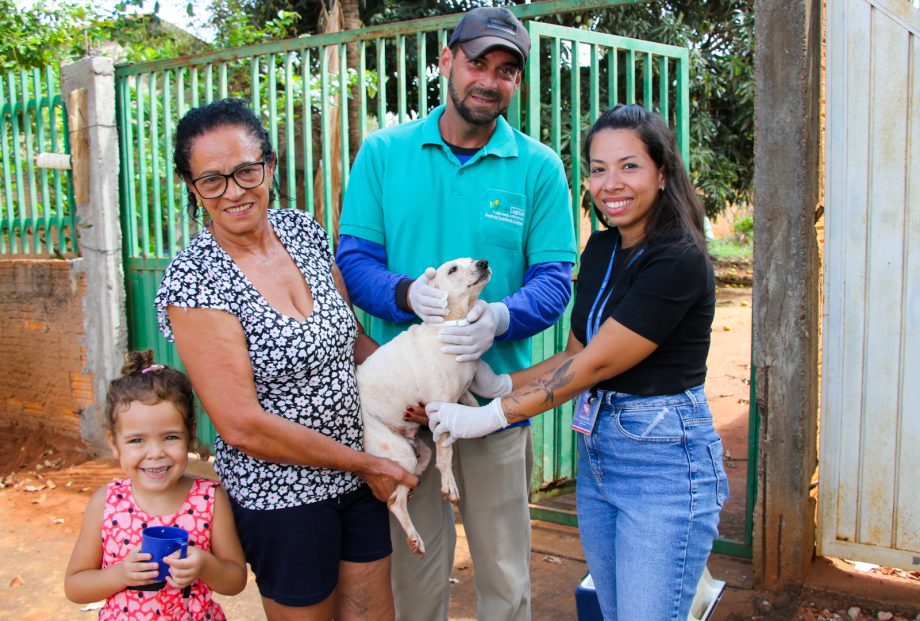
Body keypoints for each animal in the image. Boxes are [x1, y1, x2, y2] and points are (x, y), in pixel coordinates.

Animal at [358, 254, 492, 556]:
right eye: (453, 269)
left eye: (471, 259)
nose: (483, 262)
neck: (448, 325)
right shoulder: (440, 407)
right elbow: (447, 454)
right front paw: (449, 486)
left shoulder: (459, 396)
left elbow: (470, 402)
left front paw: (478, 418)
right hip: (399, 453)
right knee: (394, 501)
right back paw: (415, 537)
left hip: (416, 453)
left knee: (404, 485)